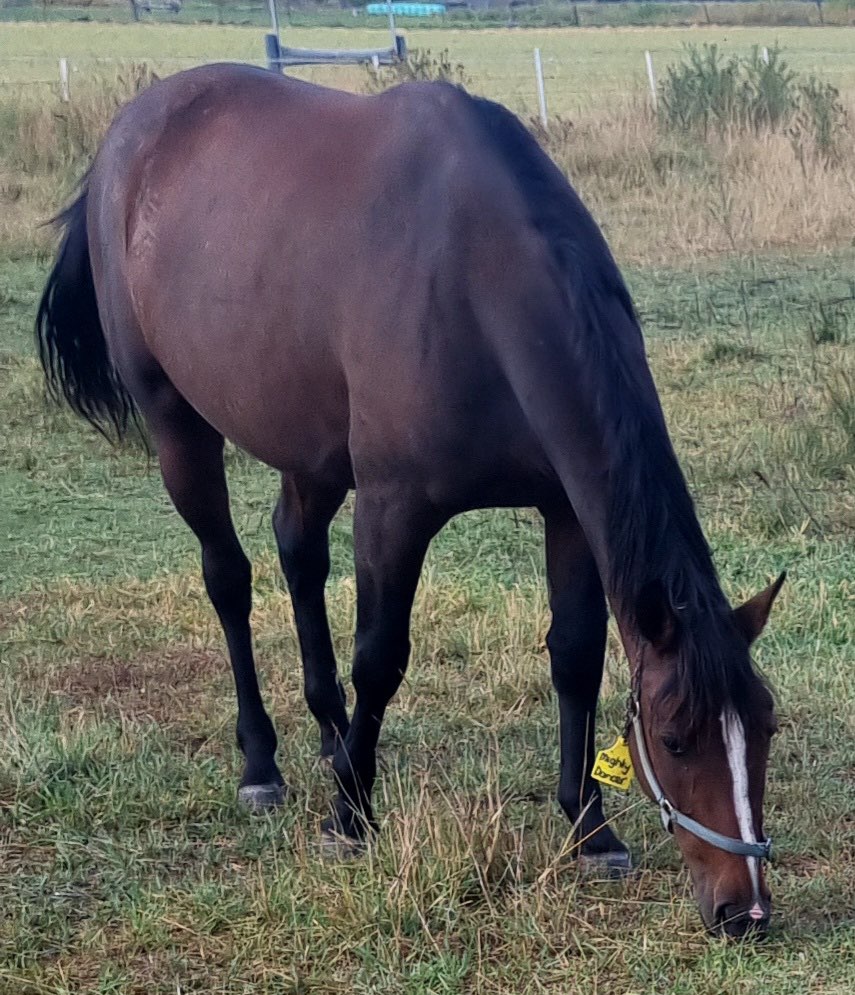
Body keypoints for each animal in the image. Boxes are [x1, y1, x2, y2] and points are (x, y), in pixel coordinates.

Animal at [36, 64, 785, 937]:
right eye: (672, 738)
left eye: (763, 725)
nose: (745, 908)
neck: (475, 277)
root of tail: (131, 133)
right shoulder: (392, 511)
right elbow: (381, 658)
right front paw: (349, 817)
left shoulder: (564, 510)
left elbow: (573, 656)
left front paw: (588, 827)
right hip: (177, 426)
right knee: (228, 577)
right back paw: (263, 761)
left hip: (309, 450)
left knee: (296, 553)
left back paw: (332, 740)